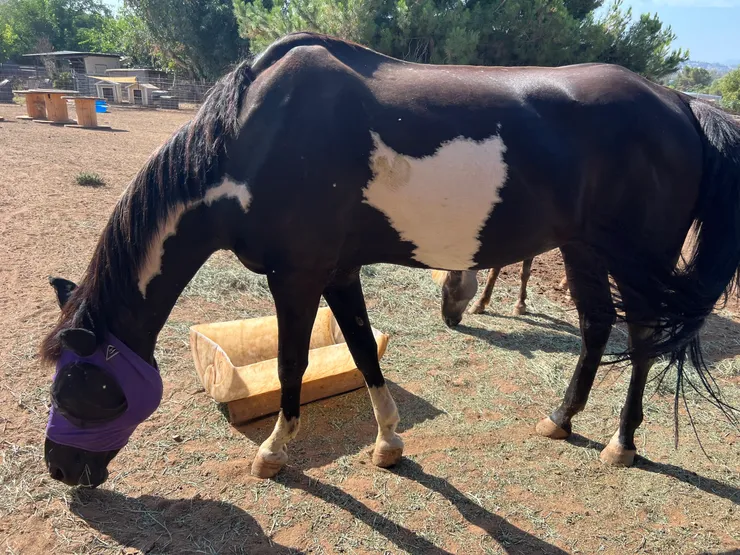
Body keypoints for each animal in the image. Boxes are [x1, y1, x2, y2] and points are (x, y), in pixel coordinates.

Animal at [431, 257, 569, 323]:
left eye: (451, 285)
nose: (447, 320)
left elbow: (524, 273)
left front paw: (520, 304)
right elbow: (494, 271)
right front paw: (480, 303)